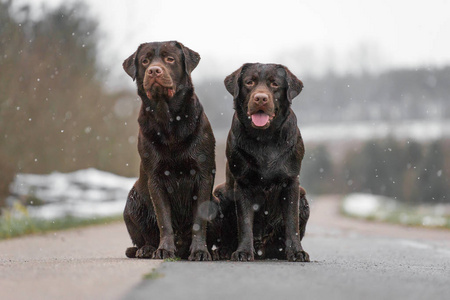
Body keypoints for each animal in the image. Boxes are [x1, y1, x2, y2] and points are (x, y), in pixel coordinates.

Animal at [122, 41, 215, 262]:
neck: (169, 121)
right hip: (131, 203)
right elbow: (163, 219)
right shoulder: (156, 178)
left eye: (170, 59)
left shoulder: (204, 175)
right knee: (143, 238)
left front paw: (200, 251)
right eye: (145, 60)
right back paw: (147, 249)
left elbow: (199, 221)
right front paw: (164, 249)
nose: (154, 70)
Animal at [211, 63, 310, 262]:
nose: (261, 98)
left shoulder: (291, 182)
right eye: (249, 82)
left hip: (303, 197)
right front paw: (243, 252)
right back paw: (224, 251)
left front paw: (297, 252)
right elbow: (245, 222)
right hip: (220, 192)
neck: (265, 138)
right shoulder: (243, 183)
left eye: (274, 84)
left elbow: (292, 222)